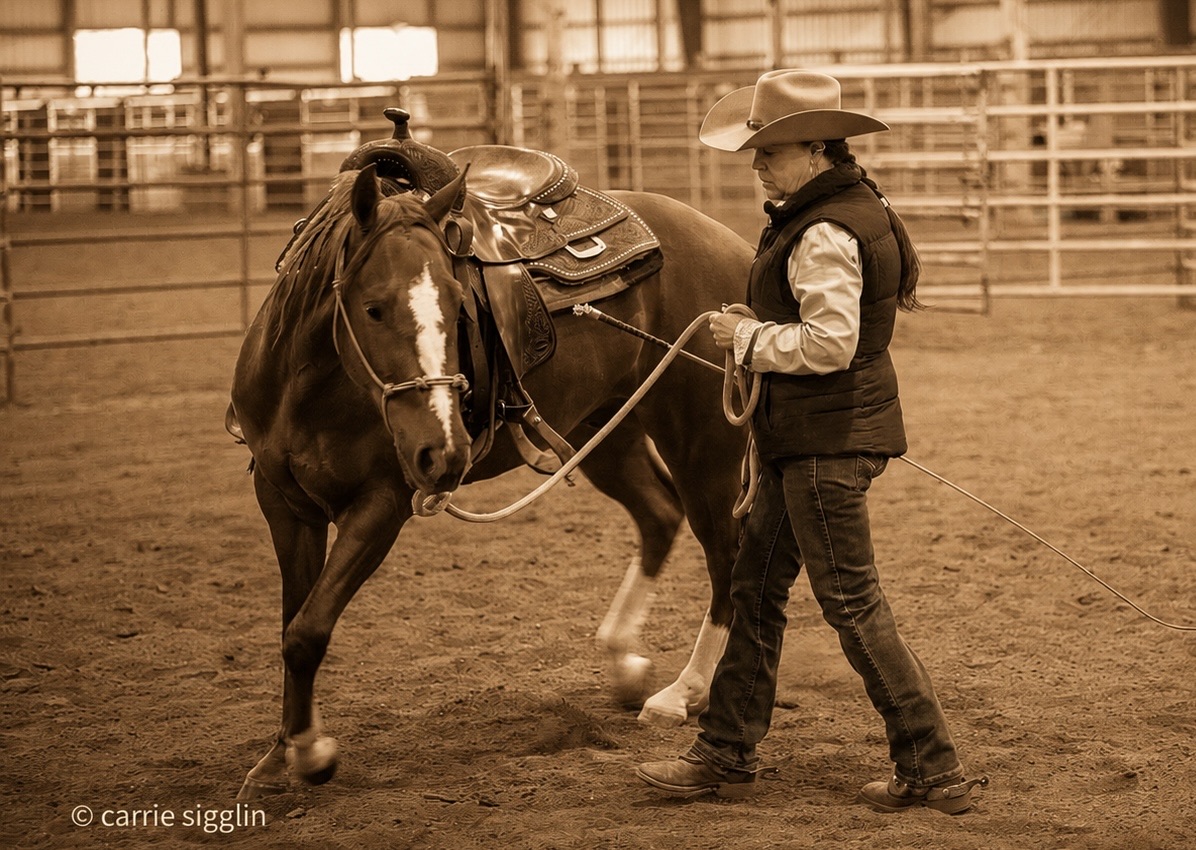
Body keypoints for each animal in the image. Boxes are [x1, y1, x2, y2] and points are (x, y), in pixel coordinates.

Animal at [228, 140, 754, 799]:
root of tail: (734, 245)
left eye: (458, 306)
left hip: (701, 439)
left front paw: (312, 753)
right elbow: (293, 623)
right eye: (373, 308)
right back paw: (625, 661)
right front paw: (280, 756)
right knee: (659, 514)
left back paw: (683, 692)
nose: (445, 452)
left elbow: (308, 629)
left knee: (724, 553)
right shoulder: (281, 501)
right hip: (607, 429)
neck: (308, 384)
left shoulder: (381, 505)